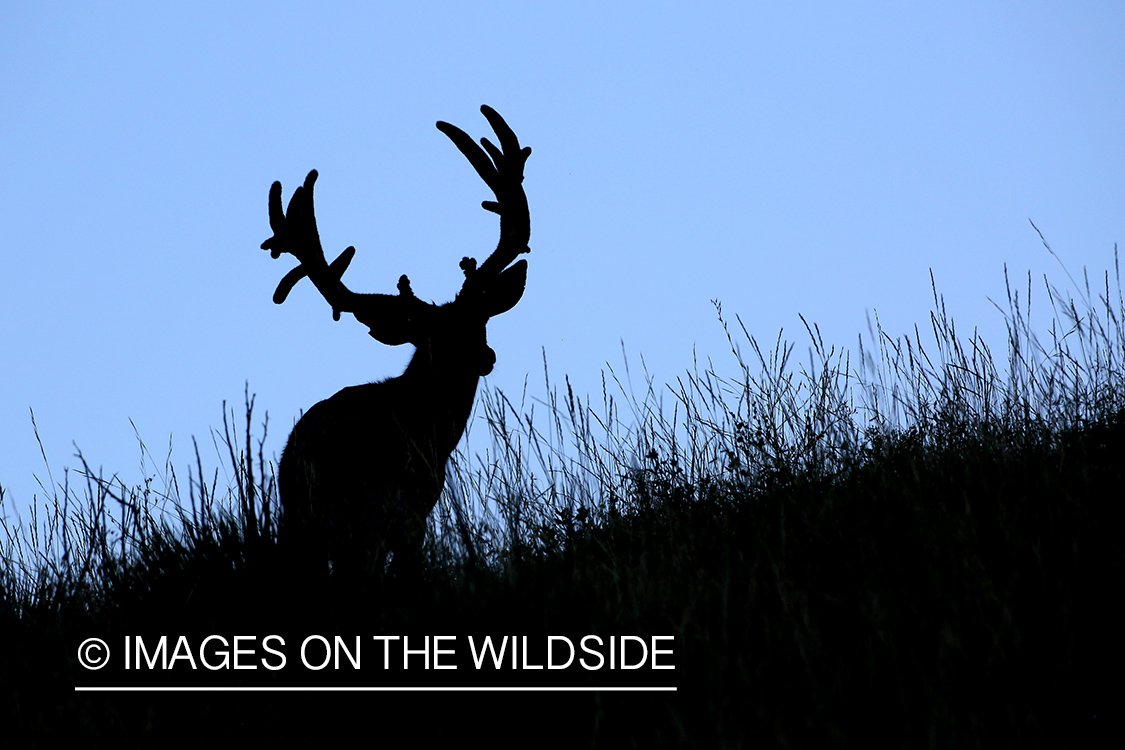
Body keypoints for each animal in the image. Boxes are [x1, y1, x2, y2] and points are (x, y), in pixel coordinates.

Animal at [260, 105, 531, 574]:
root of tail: (306, 451)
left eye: (481, 320)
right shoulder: (413, 516)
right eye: (432, 337)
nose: (484, 356)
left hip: (302, 524)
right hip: (362, 518)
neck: (432, 432)